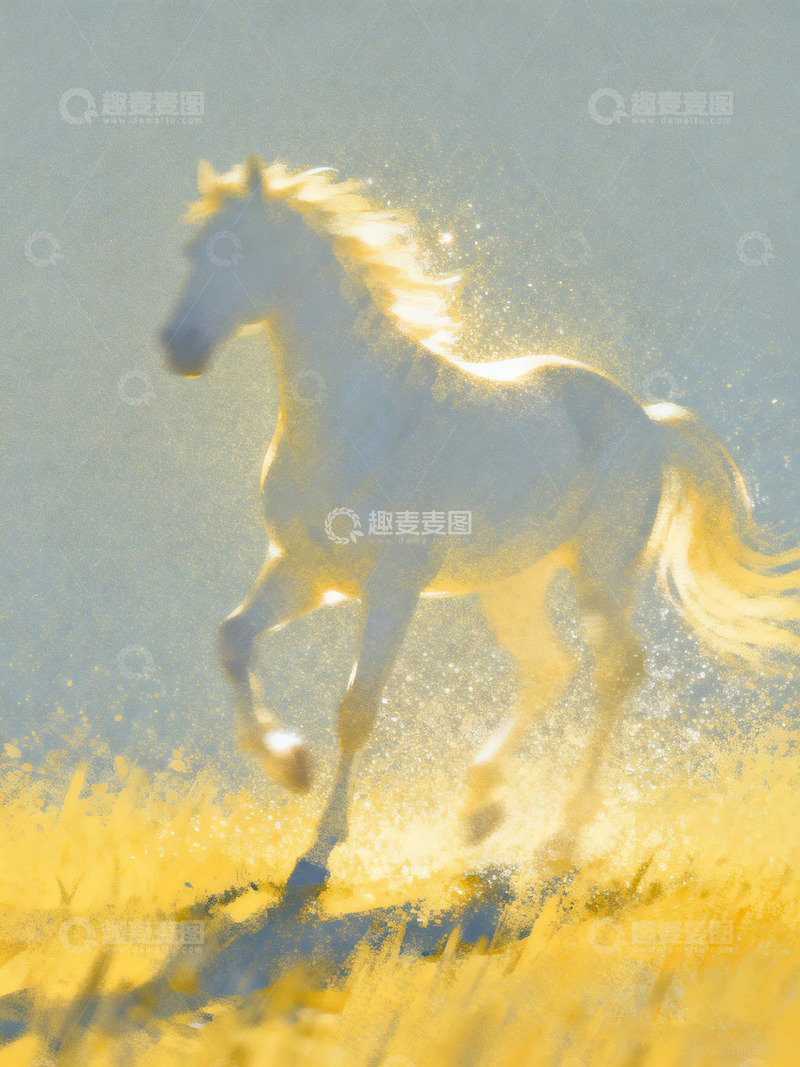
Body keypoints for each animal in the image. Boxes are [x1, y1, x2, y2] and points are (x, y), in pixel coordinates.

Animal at [160, 155, 800, 881]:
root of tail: (645, 422)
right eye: (192, 249)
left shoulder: (392, 587)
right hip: (513, 584)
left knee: (616, 670)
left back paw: (561, 837)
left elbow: (357, 709)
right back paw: (479, 811)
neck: (358, 419)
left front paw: (319, 850)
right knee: (550, 668)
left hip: (602, 572)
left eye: (241, 248)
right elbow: (233, 639)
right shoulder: (304, 570)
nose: (178, 347)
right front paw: (291, 765)